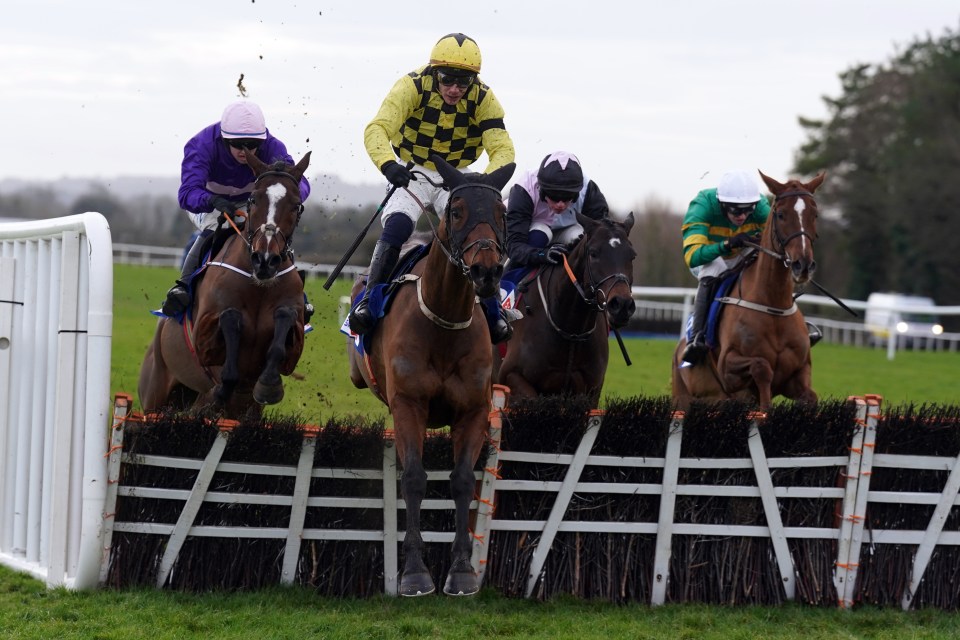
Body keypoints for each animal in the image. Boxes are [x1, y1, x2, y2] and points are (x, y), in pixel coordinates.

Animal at [141, 151, 312, 420]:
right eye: (253, 199)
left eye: (296, 205)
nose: (265, 259)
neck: (257, 283)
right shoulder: (202, 338)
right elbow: (230, 317)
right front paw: (224, 386)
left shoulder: (294, 347)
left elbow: (284, 319)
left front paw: (269, 386)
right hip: (154, 397)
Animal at [348, 154, 516, 596]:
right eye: (456, 212)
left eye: (501, 211)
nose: (486, 271)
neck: (444, 320)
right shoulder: (410, 405)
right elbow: (413, 478)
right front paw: (414, 572)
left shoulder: (474, 410)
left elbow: (462, 480)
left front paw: (461, 570)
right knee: (395, 226)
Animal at [496, 212, 636, 408]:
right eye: (593, 253)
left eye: (632, 256)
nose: (622, 305)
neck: (571, 329)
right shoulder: (511, 376)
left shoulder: (590, 391)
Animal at [672, 170, 828, 410]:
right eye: (780, 214)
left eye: (815, 214)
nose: (802, 265)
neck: (772, 304)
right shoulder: (728, 369)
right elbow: (761, 367)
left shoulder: (799, 375)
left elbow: (810, 396)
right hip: (683, 398)